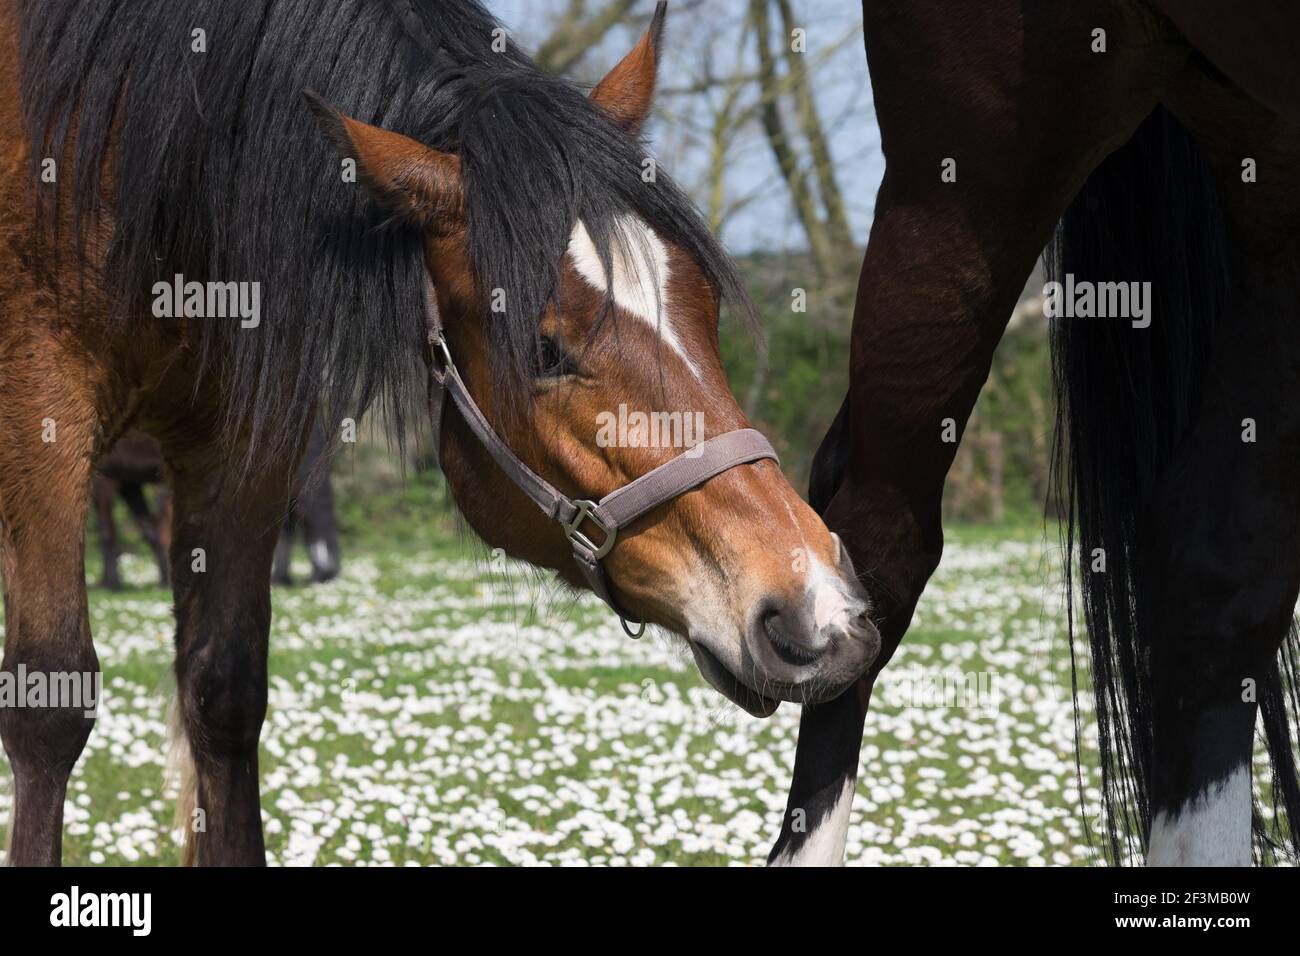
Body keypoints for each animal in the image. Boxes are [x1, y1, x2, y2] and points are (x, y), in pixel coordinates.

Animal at [0, 0, 878, 868]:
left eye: (708, 303)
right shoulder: (43, 412)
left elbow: (224, 691)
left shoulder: (245, 441)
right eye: (545, 349)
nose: (817, 612)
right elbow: (50, 702)